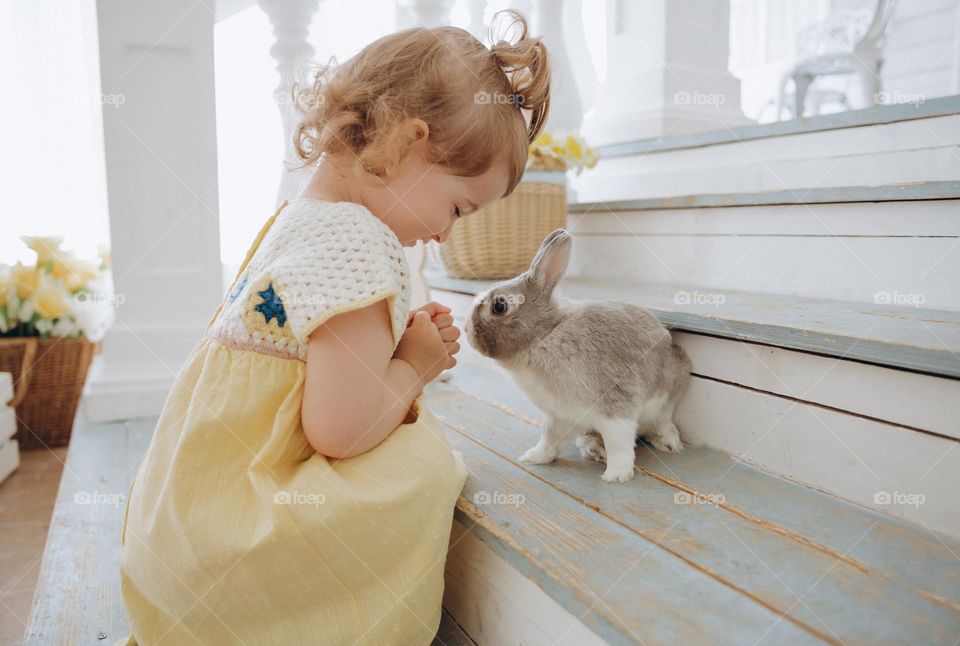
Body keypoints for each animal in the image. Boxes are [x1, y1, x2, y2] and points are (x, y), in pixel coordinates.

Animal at [464, 228, 688, 480]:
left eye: (499, 306)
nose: (466, 332)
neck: (544, 336)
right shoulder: (560, 417)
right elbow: (550, 440)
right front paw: (533, 457)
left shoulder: (615, 409)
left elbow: (619, 443)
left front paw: (616, 476)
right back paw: (596, 449)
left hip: (666, 396)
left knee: (661, 423)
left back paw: (669, 443)